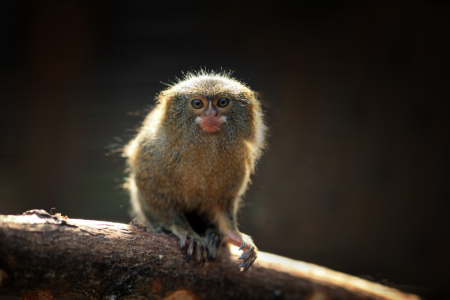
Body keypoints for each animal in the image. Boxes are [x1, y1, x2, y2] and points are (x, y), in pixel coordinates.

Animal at [125, 71, 266, 272]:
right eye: (197, 103)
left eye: (223, 102)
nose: (211, 114)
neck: (207, 143)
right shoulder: (151, 152)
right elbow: (154, 193)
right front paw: (187, 233)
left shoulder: (238, 163)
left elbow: (222, 204)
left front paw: (233, 235)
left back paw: (215, 236)